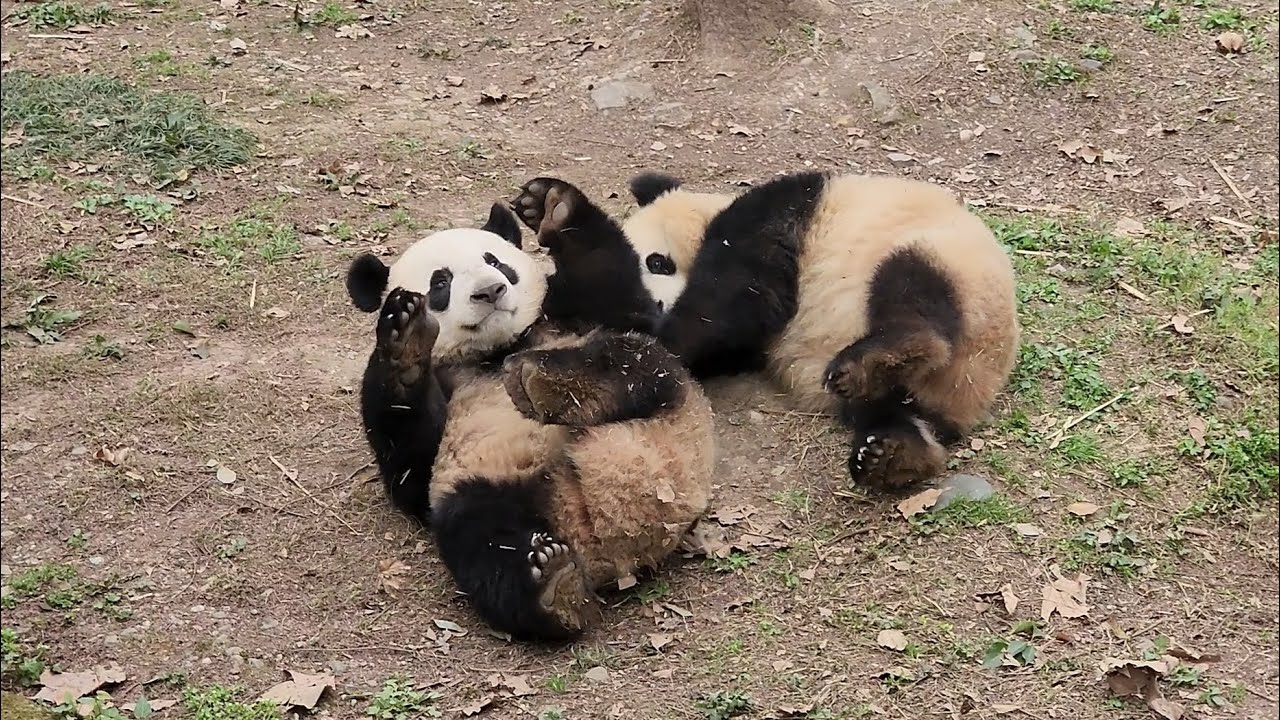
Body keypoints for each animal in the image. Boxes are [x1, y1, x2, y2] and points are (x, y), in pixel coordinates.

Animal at [345, 203, 716, 642]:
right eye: (440, 282)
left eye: (495, 261)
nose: (490, 291)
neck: (498, 350)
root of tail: (608, 535)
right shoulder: (444, 388)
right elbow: (409, 469)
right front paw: (406, 339)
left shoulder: (566, 316)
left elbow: (623, 301)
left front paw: (554, 209)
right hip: (486, 487)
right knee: (479, 538)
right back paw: (553, 585)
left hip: (676, 408)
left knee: (638, 360)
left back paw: (550, 383)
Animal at [507, 172, 1019, 493]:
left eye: (658, 261)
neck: (709, 212)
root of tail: (977, 384)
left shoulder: (767, 225)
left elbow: (724, 309)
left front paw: (555, 208)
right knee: (892, 409)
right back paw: (894, 452)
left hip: (946, 262)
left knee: (913, 293)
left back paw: (882, 356)